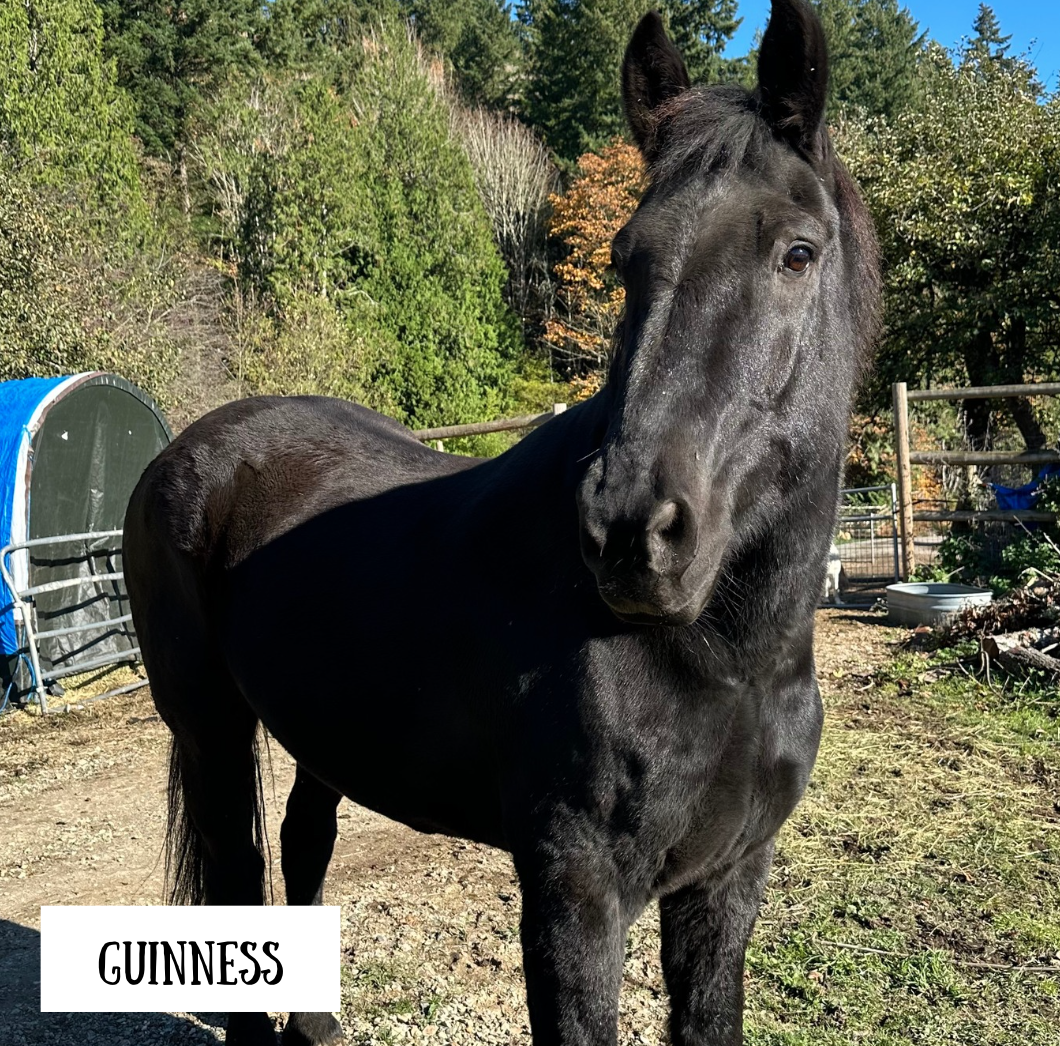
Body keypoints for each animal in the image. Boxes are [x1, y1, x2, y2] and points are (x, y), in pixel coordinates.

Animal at [123, 3, 880, 1043]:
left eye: (797, 253)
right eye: (625, 258)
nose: (628, 533)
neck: (729, 658)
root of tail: (185, 448)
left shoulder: (728, 881)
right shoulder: (575, 895)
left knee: (305, 841)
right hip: (209, 728)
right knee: (239, 877)